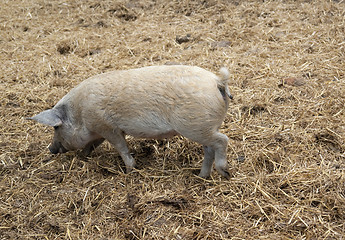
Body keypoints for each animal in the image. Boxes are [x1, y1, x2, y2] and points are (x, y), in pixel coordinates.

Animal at [28, 65, 232, 178]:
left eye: (56, 128)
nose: (51, 149)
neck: (80, 114)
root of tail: (218, 81)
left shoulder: (108, 128)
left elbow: (121, 147)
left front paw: (129, 170)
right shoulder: (99, 131)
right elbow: (91, 145)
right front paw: (83, 156)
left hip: (195, 126)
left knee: (223, 140)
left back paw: (225, 173)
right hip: (203, 127)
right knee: (209, 149)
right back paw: (202, 176)